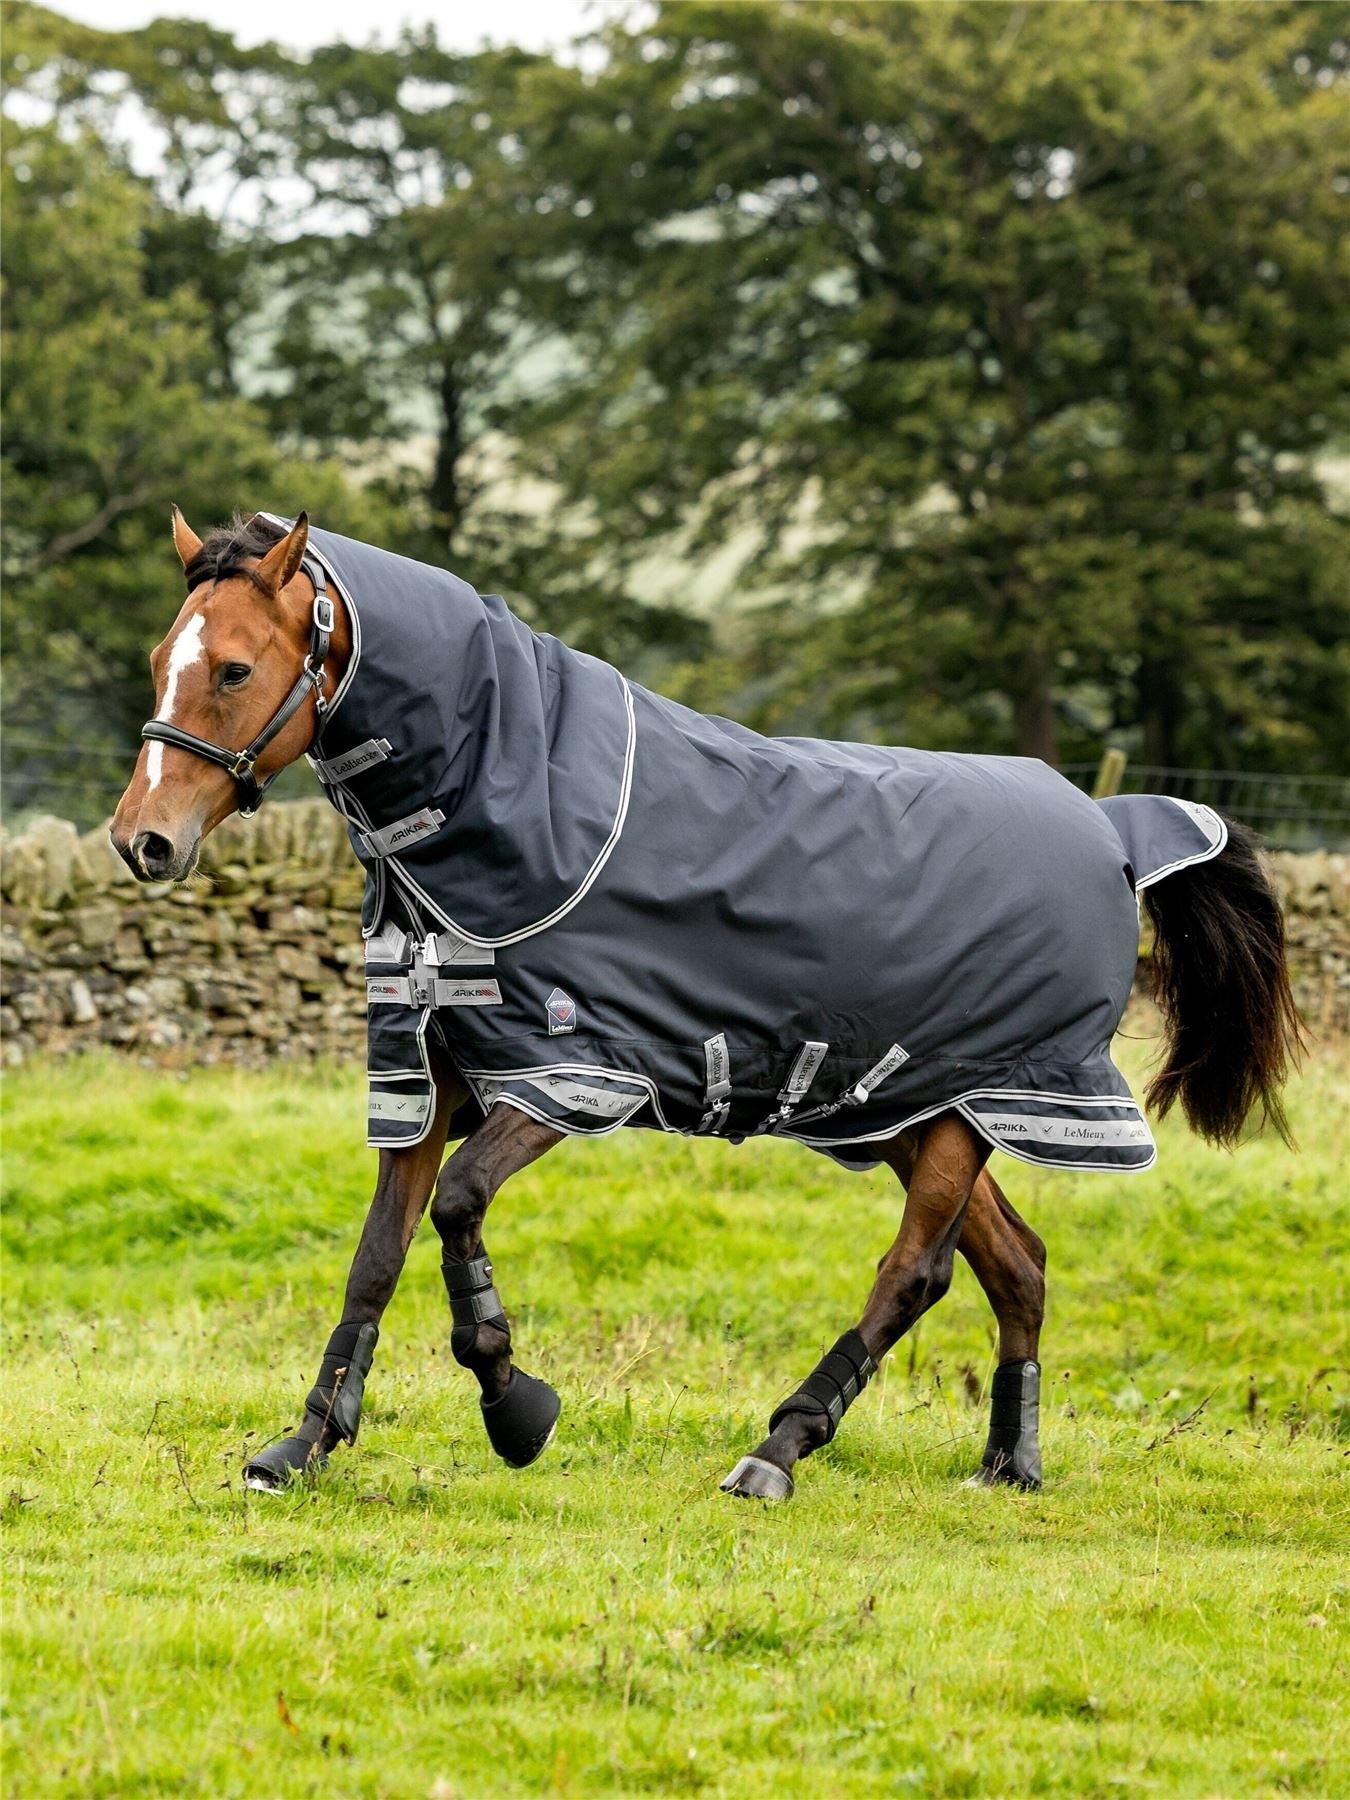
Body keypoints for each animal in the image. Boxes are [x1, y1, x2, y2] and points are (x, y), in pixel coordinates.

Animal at [110, 508, 1301, 1502]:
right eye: (162, 664)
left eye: (233, 667)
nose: (143, 841)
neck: (509, 807)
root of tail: (1112, 829)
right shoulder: (425, 1076)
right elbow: (376, 1257)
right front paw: (304, 1444)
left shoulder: (570, 1076)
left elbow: (458, 1205)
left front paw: (515, 1406)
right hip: (914, 1109)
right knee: (1018, 1268)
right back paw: (1010, 1463)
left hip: (983, 1101)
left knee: (915, 1273)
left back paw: (779, 1450)